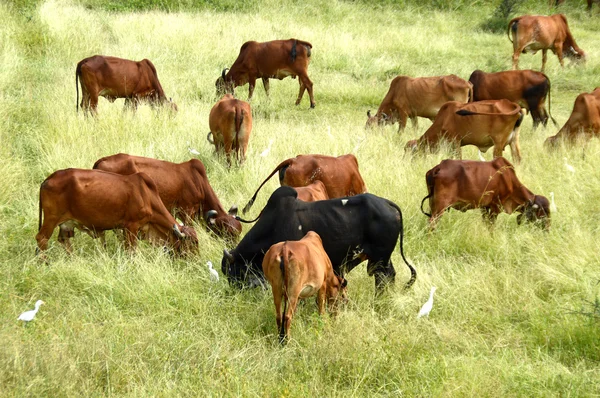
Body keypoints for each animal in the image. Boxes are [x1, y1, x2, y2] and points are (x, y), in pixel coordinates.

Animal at [35, 168, 198, 255]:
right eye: (193, 243)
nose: (197, 261)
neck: (147, 196)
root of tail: (47, 179)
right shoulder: (131, 227)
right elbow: (131, 251)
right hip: (51, 218)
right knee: (41, 239)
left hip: (65, 223)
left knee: (63, 241)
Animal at [221, 186, 418, 292]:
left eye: (232, 272)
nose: (233, 293)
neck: (272, 224)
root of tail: (387, 204)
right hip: (383, 259)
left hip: (380, 260)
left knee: (383, 280)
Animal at [420, 157, 552, 229]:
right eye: (543, 213)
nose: (547, 230)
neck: (510, 181)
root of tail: (438, 168)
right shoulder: (495, 207)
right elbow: (491, 227)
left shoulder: (484, 207)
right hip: (440, 207)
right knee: (431, 223)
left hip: (433, 204)